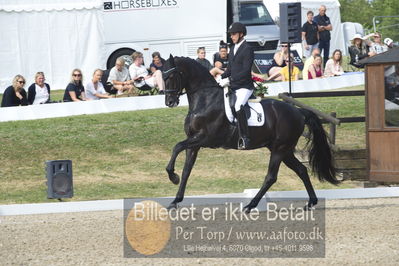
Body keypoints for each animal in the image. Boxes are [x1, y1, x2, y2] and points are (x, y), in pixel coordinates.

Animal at [162, 54, 340, 212]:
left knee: (271, 176)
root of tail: (298, 112)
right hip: (284, 149)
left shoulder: (205, 139)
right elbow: (186, 170)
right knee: (301, 170)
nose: (170, 102)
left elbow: (177, 147)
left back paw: (250, 206)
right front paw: (175, 200)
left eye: (171, 76)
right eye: (162, 77)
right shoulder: (194, 143)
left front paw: (173, 177)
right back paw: (311, 203)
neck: (205, 99)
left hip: (280, 149)